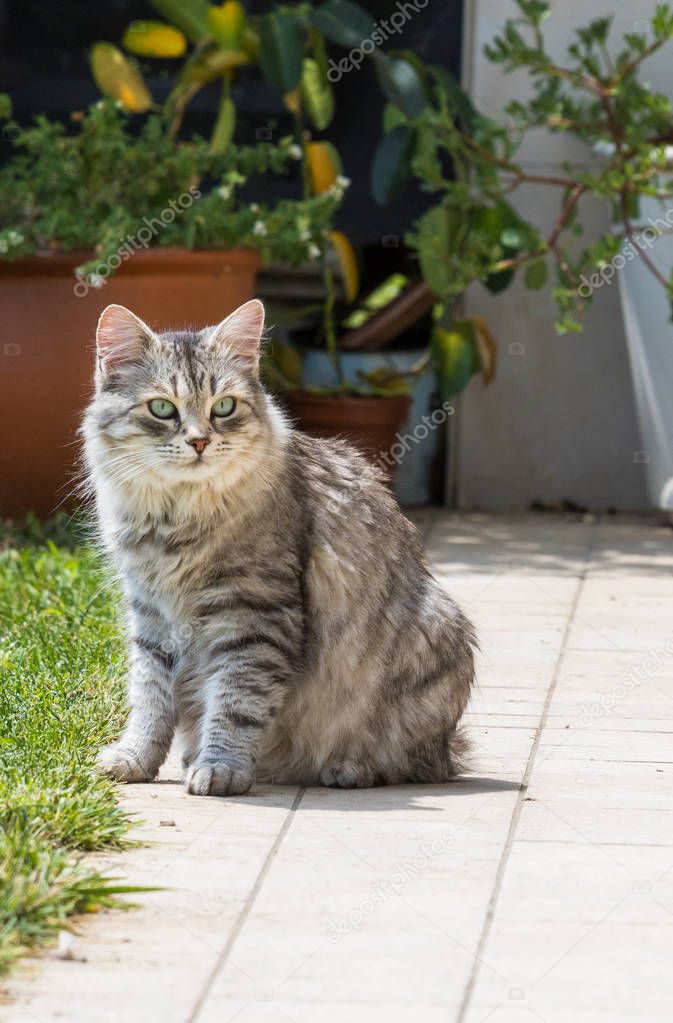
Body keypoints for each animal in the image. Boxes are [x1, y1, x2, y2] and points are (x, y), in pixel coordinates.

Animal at [81, 298, 474, 793]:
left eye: (224, 406)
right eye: (162, 408)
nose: (200, 441)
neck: (176, 519)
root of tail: (450, 748)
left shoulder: (253, 617)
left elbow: (235, 704)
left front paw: (221, 769)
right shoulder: (152, 617)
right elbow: (150, 699)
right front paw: (134, 760)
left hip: (433, 639)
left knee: (409, 764)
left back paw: (347, 768)